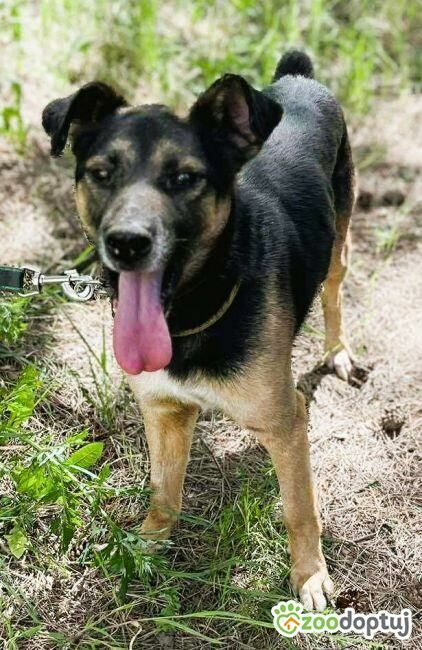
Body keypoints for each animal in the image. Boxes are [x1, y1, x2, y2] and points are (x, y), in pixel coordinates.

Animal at [42, 50, 355, 611]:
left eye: (185, 178)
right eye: (102, 173)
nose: (126, 243)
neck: (189, 312)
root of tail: (299, 77)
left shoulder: (285, 421)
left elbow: (300, 510)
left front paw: (311, 576)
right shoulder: (164, 412)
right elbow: (164, 490)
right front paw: (148, 546)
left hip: (340, 237)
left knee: (335, 292)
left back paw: (338, 352)